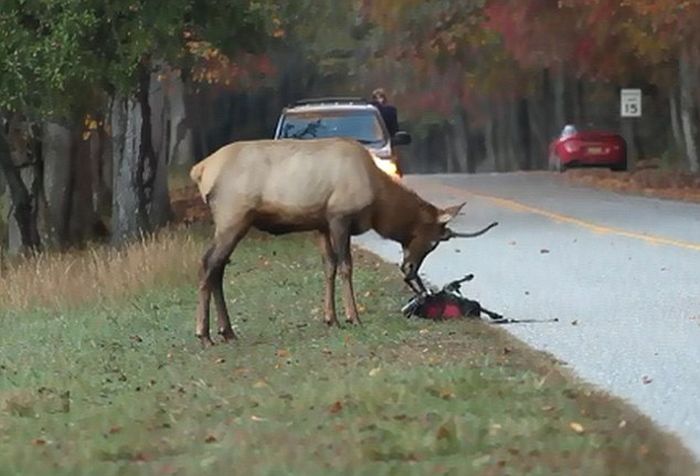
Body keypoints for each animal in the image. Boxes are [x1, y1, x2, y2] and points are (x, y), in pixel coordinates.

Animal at [187, 138, 498, 346]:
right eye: (433, 241)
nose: (409, 268)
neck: (379, 204)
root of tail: (200, 170)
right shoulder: (340, 217)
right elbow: (346, 267)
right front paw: (353, 317)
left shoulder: (322, 224)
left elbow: (329, 268)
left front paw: (331, 318)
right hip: (233, 217)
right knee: (208, 263)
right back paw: (204, 334)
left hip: (233, 223)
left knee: (217, 268)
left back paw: (227, 331)